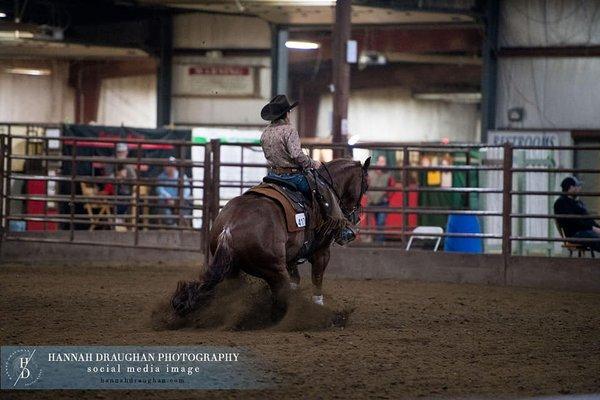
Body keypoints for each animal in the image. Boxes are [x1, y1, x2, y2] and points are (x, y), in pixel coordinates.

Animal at [170, 158, 370, 318]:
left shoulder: (292, 257)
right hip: (274, 270)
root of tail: (229, 227)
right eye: (366, 186)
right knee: (282, 297)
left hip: (234, 271)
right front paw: (318, 307)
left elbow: (296, 279)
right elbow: (317, 279)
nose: (355, 219)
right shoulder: (321, 252)